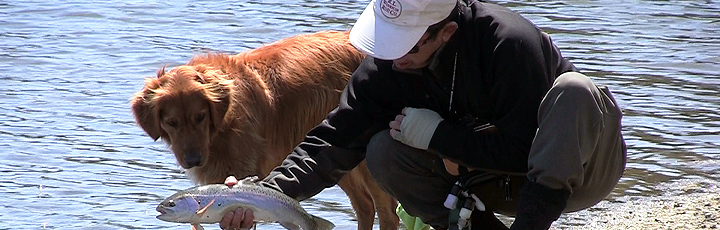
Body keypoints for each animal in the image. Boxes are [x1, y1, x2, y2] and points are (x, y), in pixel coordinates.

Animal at [131, 31, 400, 230]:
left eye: (200, 117)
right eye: (171, 122)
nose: (193, 160)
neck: (222, 127)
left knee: (387, 212)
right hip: (338, 151)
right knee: (364, 206)